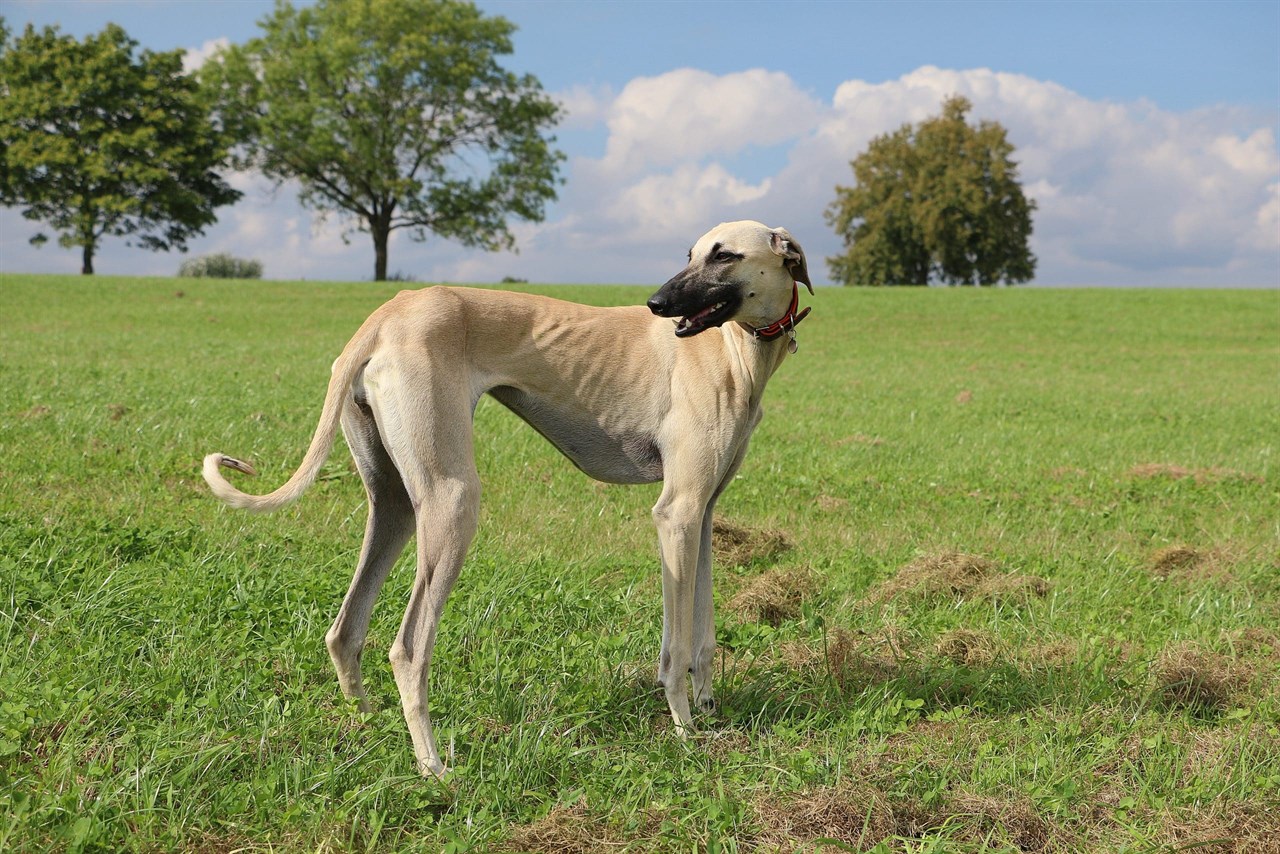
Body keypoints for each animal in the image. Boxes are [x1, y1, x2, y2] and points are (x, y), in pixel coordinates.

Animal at [204, 222, 814, 783]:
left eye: (723, 255)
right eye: (690, 254)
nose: (657, 304)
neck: (732, 349)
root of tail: (386, 313)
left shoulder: (703, 513)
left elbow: (705, 633)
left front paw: (709, 709)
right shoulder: (676, 513)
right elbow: (676, 647)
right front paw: (687, 731)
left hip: (396, 504)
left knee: (345, 630)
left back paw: (366, 725)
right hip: (453, 500)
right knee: (407, 650)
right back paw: (433, 768)